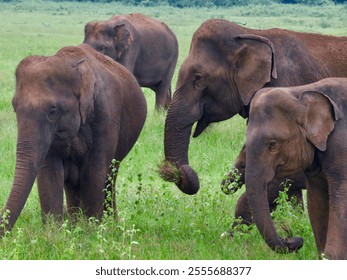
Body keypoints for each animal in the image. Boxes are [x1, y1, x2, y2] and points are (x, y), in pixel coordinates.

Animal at [0, 43, 147, 236]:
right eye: (14, 108)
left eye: (53, 110)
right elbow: (50, 172)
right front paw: (55, 233)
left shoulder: (106, 116)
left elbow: (94, 171)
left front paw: (92, 231)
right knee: (73, 182)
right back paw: (74, 223)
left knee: (110, 175)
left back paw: (110, 223)